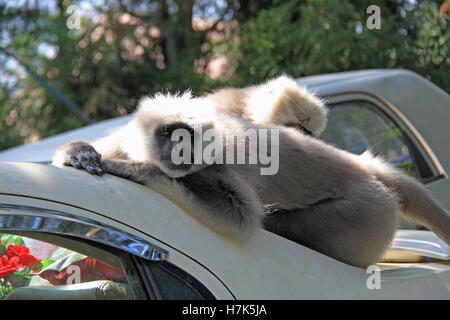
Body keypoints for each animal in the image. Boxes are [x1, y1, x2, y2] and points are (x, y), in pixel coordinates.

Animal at [53, 92, 450, 268]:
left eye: (188, 138)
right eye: (170, 134)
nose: (180, 151)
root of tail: (366, 169)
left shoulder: (215, 165)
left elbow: (240, 218)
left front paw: (134, 170)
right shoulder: (127, 138)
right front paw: (80, 152)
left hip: (365, 217)